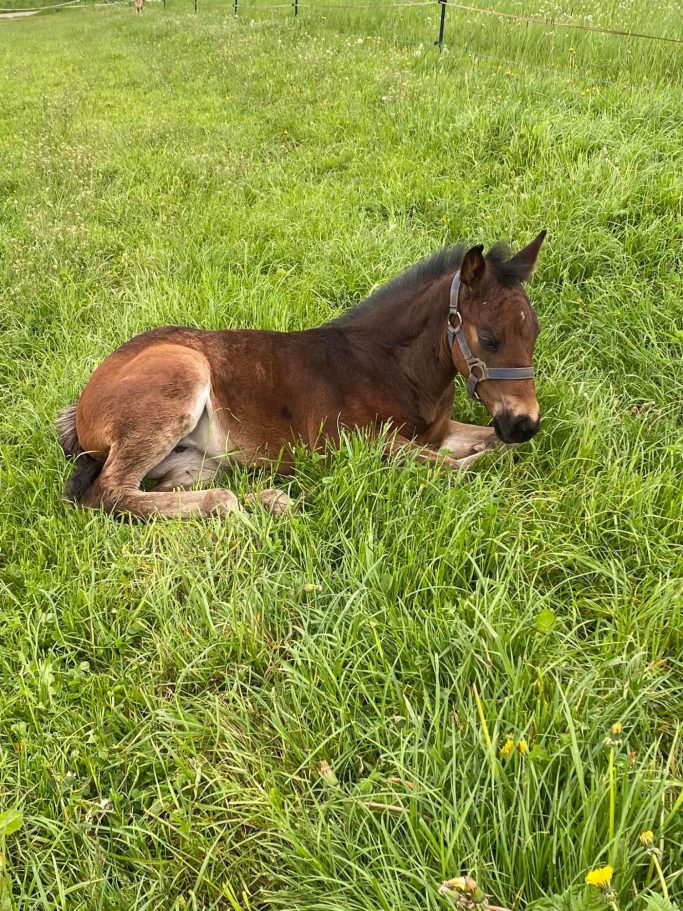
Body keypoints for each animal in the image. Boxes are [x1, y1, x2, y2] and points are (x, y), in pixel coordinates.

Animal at [57, 232, 545, 519]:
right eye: (490, 338)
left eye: (534, 331)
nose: (525, 424)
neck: (391, 367)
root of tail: (81, 406)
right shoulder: (358, 444)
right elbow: (459, 466)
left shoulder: (439, 431)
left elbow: (491, 447)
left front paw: (501, 447)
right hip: (180, 377)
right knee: (108, 493)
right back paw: (241, 504)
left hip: (195, 460)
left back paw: (269, 500)